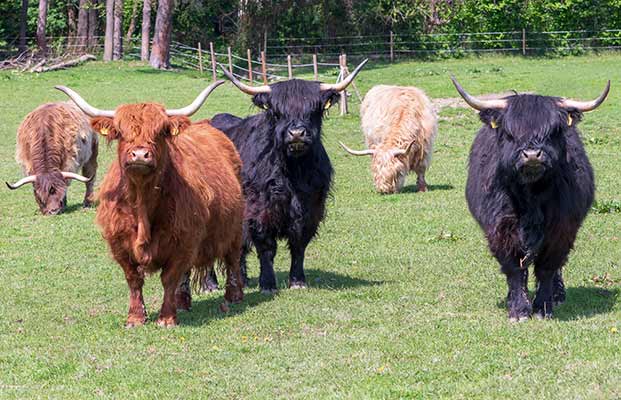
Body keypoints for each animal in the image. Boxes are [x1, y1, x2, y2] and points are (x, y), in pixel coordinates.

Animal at [56, 83, 245, 326]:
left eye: (160, 132)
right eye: (121, 132)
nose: (139, 154)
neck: (142, 205)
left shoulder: (183, 241)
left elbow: (169, 277)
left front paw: (166, 318)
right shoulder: (119, 243)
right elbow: (134, 279)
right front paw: (136, 317)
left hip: (235, 227)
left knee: (232, 258)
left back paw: (234, 295)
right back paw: (182, 301)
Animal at [196, 60, 366, 294]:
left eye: (313, 110)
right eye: (278, 112)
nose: (297, 134)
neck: (294, 172)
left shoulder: (311, 209)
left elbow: (299, 245)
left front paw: (298, 281)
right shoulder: (259, 210)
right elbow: (267, 247)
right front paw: (268, 284)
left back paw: (241, 279)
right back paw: (210, 284)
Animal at [450, 77, 612, 322]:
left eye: (553, 130)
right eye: (510, 132)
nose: (532, 155)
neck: (531, 198)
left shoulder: (561, 230)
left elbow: (547, 268)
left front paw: (543, 307)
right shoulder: (500, 230)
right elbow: (515, 270)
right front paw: (518, 310)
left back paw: (558, 294)